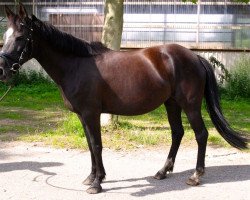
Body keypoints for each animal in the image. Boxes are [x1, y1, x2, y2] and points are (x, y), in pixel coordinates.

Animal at [0, 3, 248, 193]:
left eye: (20, 37)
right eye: (5, 35)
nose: (2, 70)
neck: (76, 65)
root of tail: (195, 57)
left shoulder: (91, 113)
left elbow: (97, 145)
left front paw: (97, 183)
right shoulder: (83, 116)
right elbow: (90, 145)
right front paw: (92, 177)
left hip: (191, 105)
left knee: (201, 134)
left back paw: (196, 175)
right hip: (171, 104)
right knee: (177, 133)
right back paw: (162, 171)